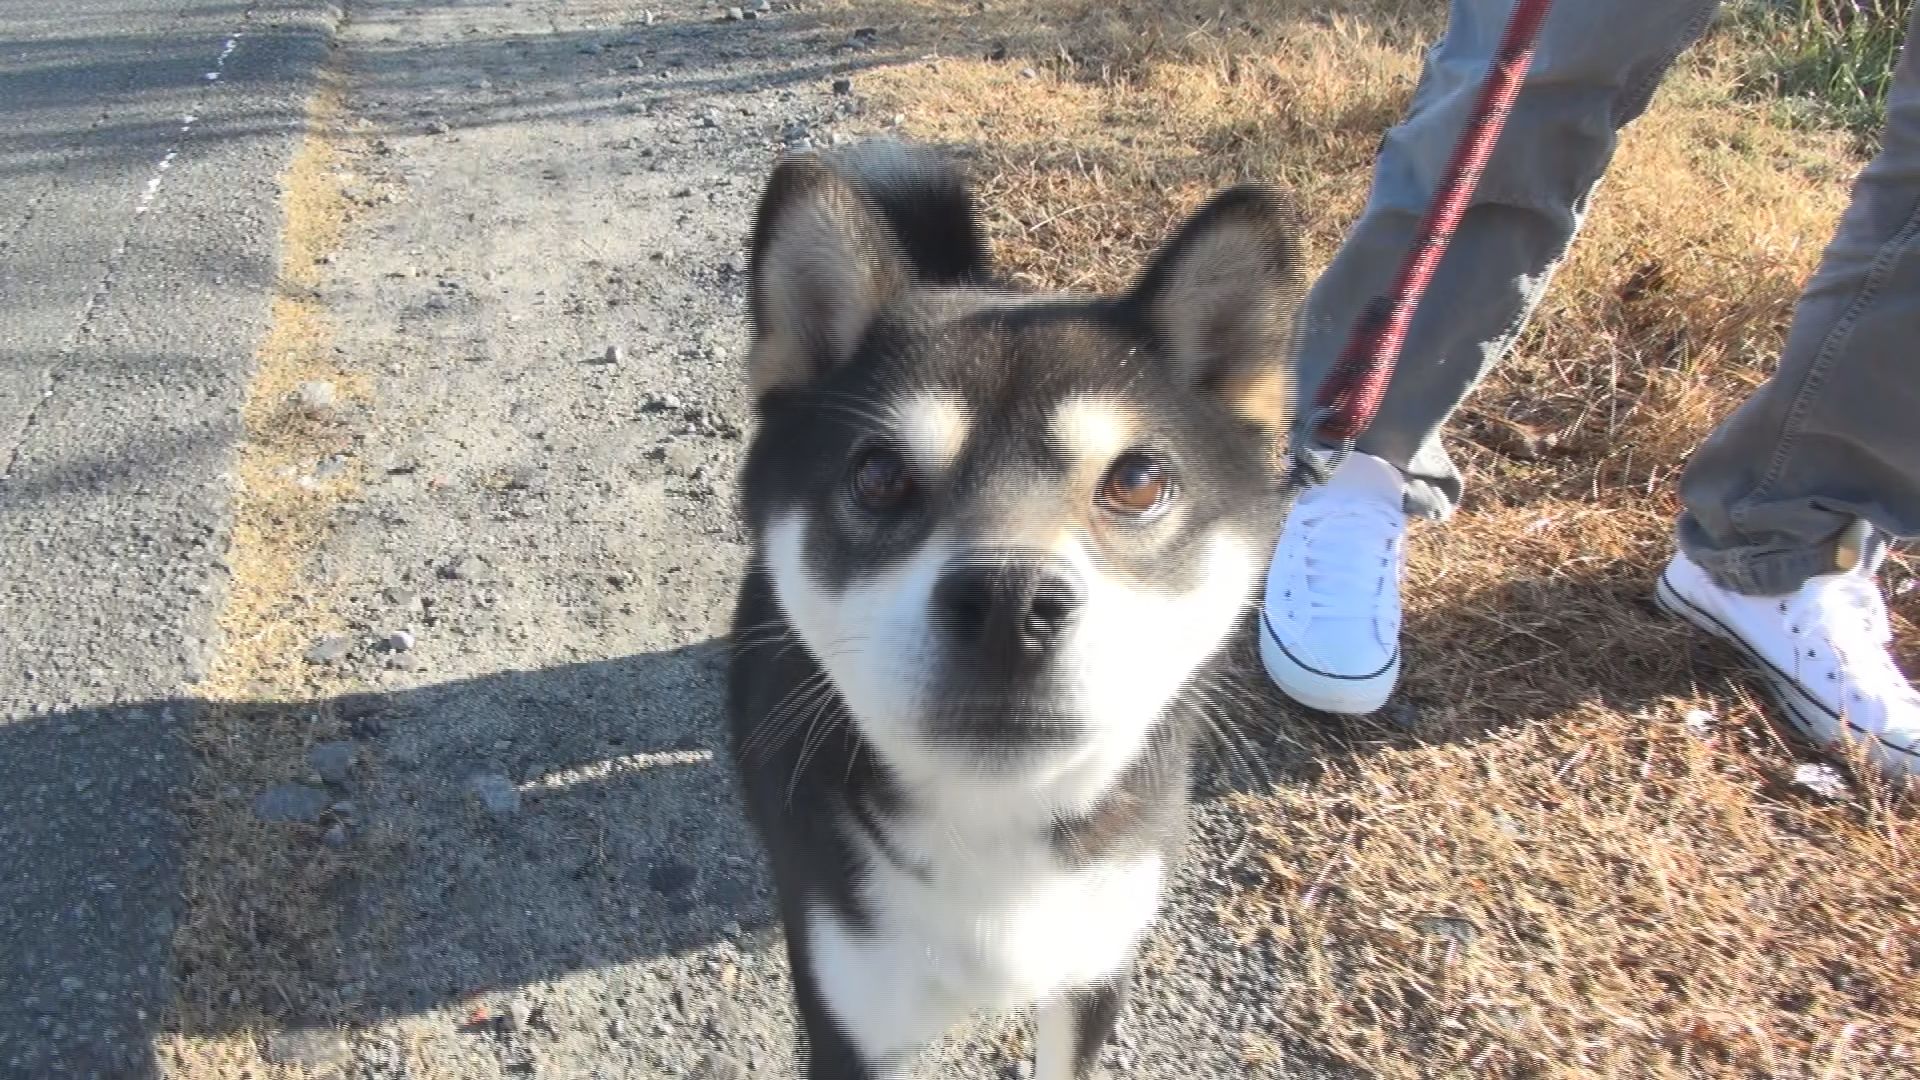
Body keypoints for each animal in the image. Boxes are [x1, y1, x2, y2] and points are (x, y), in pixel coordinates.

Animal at [721, 138, 1305, 1068]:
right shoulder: (850, 1018)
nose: (1008, 602)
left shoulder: (1095, 972)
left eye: (1136, 480)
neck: (995, 832)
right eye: (878, 475)